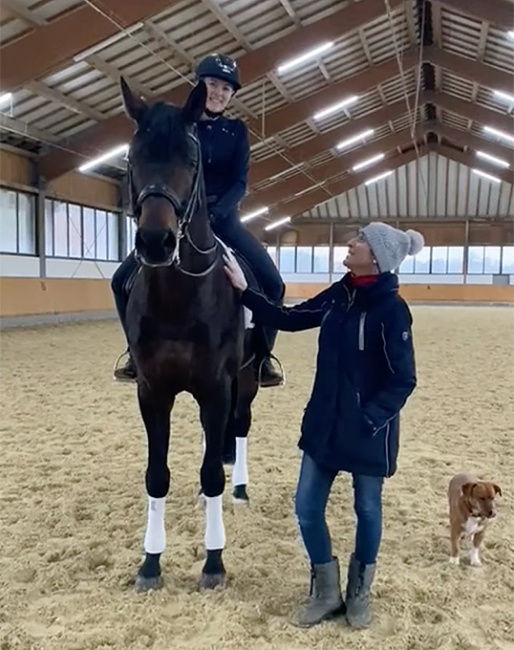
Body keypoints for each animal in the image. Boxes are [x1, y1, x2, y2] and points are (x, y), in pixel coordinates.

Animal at [120, 74, 260, 588]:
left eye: (191, 158)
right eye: (132, 157)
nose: (155, 242)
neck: (179, 296)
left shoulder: (218, 386)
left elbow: (212, 473)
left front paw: (214, 561)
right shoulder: (152, 390)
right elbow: (156, 475)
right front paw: (150, 562)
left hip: (248, 378)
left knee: (238, 429)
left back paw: (239, 489)